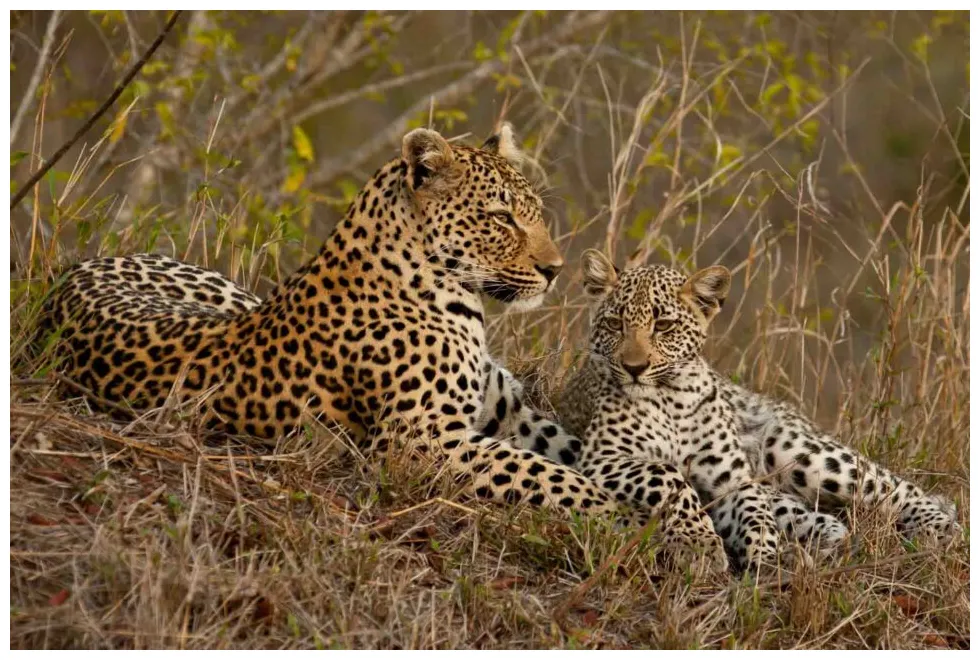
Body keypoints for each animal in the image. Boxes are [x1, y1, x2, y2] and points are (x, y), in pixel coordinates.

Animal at [36, 124, 725, 572]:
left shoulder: (508, 413)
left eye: (533, 210)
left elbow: (588, 458)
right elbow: (557, 478)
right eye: (501, 217)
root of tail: (69, 275)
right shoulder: (421, 443)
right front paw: (629, 523)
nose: (556, 270)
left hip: (226, 290)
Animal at [557, 249, 961, 571]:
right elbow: (670, 476)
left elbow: (754, 511)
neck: (670, 398)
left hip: (798, 450)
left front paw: (764, 555)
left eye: (664, 325)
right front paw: (699, 544)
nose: (634, 367)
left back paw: (943, 527)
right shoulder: (604, 458)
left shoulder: (733, 479)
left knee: (896, 486)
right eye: (615, 323)